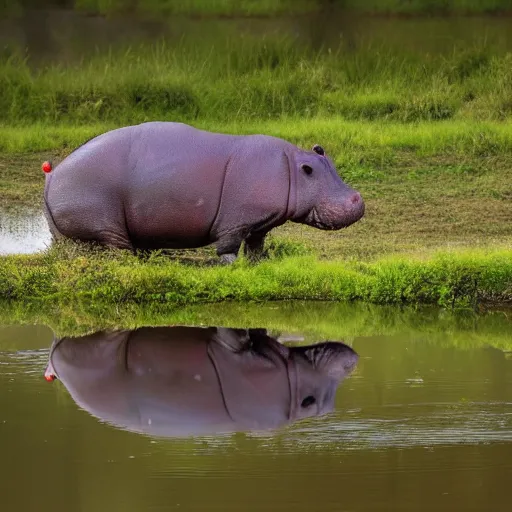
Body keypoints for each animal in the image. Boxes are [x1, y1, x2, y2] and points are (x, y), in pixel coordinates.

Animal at [44, 121, 364, 262]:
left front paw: (259, 264)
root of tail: (52, 175)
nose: (358, 199)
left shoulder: (260, 222)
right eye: (311, 171)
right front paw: (231, 267)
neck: (292, 166)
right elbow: (228, 247)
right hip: (104, 220)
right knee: (117, 247)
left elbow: (256, 244)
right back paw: (138, 262)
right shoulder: (236, 222)